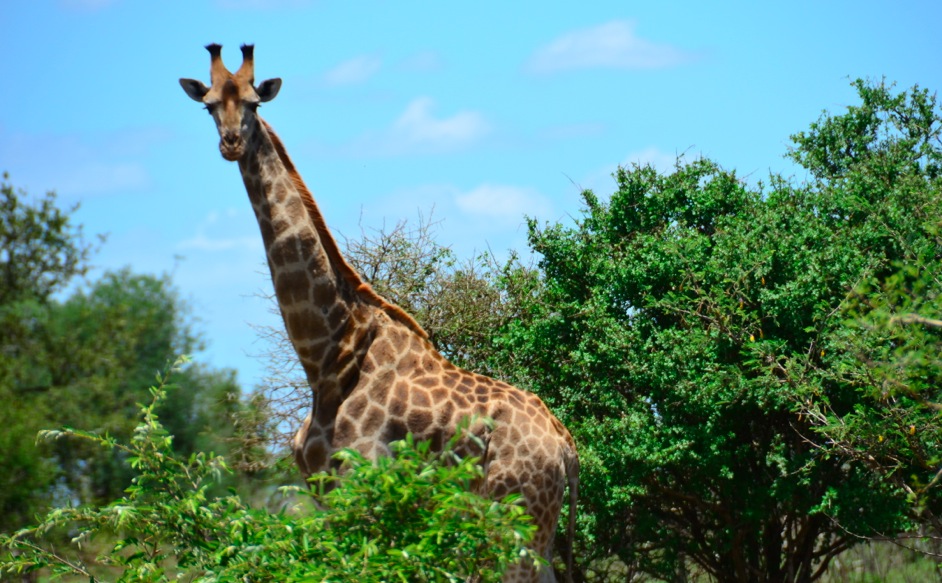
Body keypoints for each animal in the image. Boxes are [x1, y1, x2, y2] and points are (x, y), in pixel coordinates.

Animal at [180, 44, 578, 583]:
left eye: (253, 103)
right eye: (208, 107)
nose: (232, 143)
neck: (326, 354)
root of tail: (566, 446)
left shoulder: (360, 483)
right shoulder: (323, 492)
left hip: (515, 519)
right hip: (532, 527)